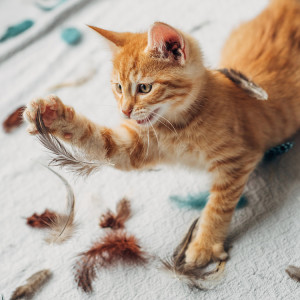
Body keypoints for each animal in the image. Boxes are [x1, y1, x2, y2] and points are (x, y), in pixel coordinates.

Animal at [23, 0, 300, 268]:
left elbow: (218, 206)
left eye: (144, 88)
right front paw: (52, 114)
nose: (124, 111)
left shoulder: (238, 159)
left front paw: (204, 245)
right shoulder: (133, 147)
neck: (179, 127)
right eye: (118, 88)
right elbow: (98, 140)